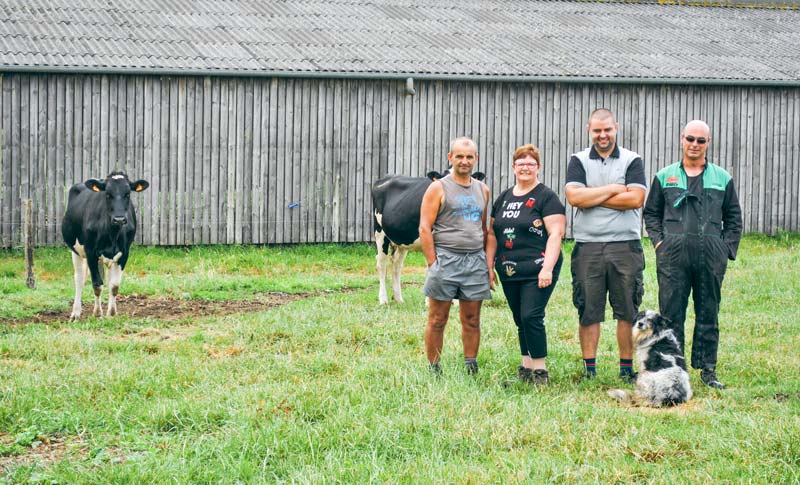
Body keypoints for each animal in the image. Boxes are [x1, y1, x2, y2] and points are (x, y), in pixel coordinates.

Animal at [61, 172, 149, 320]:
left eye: (127, 194)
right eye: (108, 194)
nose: (119, 219)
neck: (112, 234)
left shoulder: (124, 253)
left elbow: (114, 285)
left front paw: (112, 313)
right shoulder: (90, 252)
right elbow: (97, 284)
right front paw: (97, 313)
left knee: (107, 279)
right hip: (76, 250)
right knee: (79, 279)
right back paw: (76, 313)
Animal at [370, 171, 488, 302]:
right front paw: (431, 300)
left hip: (402, 239)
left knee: (396, 264)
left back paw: (399, 299)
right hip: (380, 233)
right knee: (381, 263)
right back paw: (383, 299)